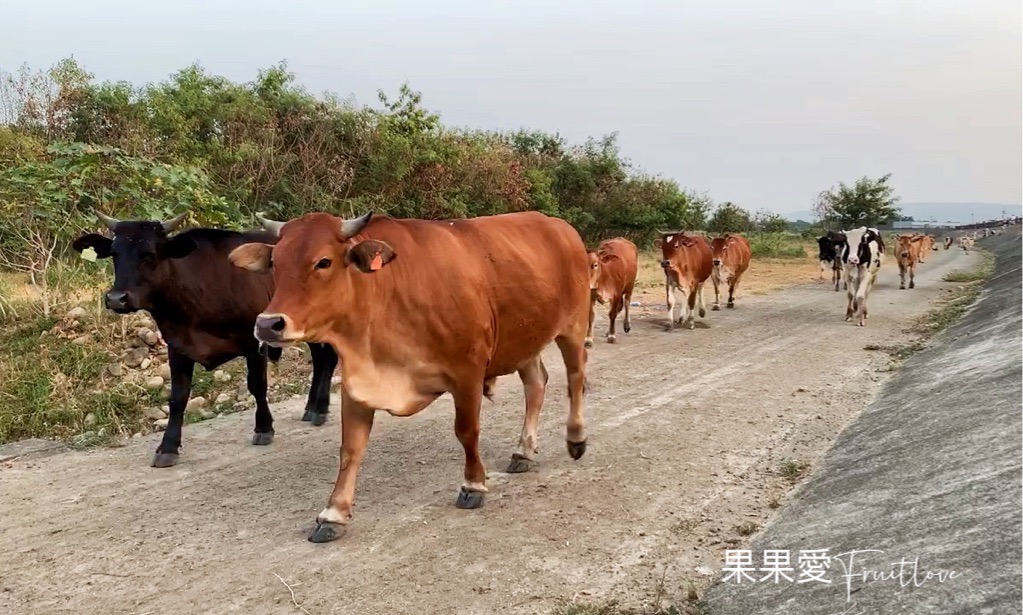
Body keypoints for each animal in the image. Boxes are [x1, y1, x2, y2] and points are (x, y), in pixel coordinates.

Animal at [69, 210, 339, 464]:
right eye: (114, 254)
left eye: (150, 254)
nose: (116, 299)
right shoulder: (177, 346)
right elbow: (178, 397)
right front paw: (168, 447)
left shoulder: (254, 342)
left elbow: (257, 385)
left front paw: (263, 428)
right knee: (320, 359)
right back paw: (312, 407)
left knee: (328, 358)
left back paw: (320, 409)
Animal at [227, 210, 589, 540]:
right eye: (275, 263)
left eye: (323, 262)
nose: (267, 324)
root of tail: (561, 227)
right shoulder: (359, 384)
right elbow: (350, 449)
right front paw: (334, 513)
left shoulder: (467, 372)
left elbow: (467, 431)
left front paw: (473, 484)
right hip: (523, 340)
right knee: (536, 384)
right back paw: (524, 451)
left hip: (572, 326)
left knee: (575, 379)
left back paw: (575, 439)